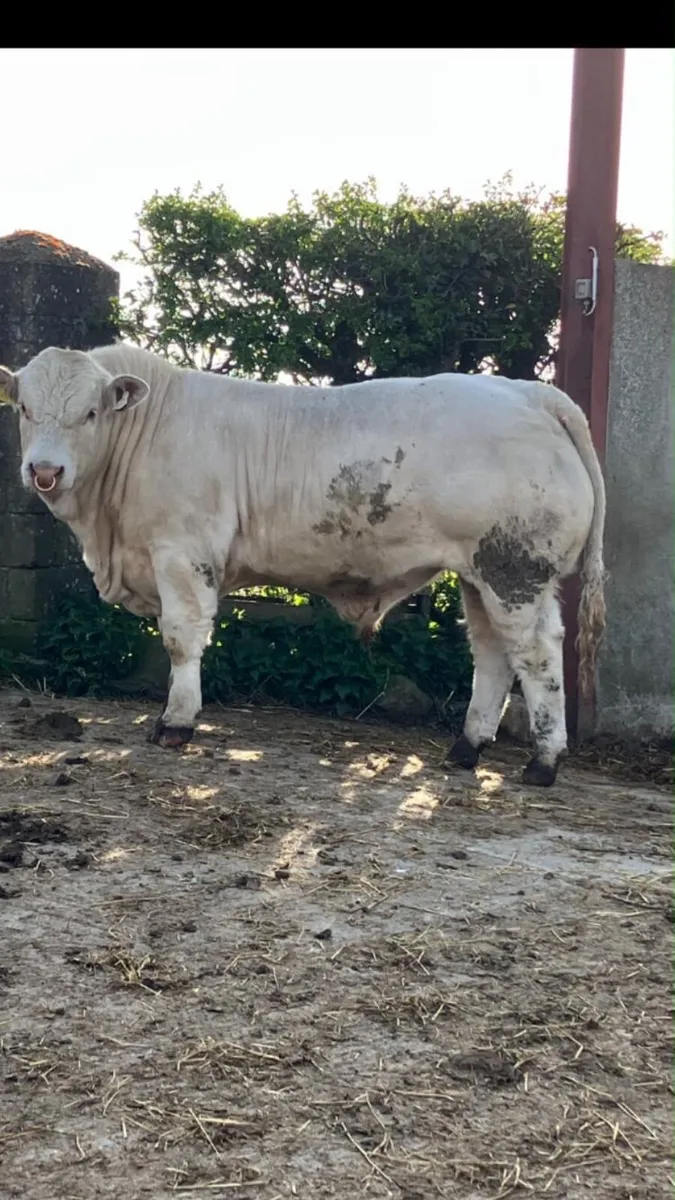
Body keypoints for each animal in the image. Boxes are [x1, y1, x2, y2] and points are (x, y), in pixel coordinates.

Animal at [0, 344, 606, 786]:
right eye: (24, 409)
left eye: (89, 413)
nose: (45, 471)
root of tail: (528, 391)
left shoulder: (182, 554)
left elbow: (180, 639)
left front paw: (176, 722)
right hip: (481, 575)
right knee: (492, 655)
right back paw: (466, 746)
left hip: (514, 571)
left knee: (536, 654)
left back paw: (544, 762)